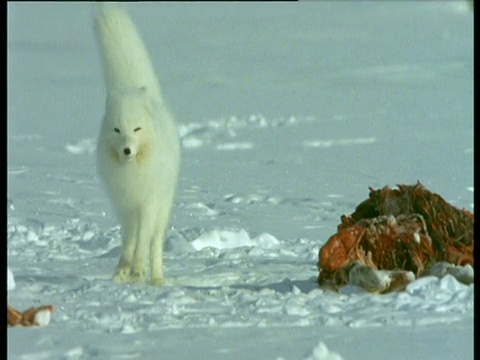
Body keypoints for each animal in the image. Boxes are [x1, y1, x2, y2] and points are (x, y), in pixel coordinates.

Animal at [94, 5, 180, 286]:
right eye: (117, 130)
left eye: (137, 130)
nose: (127, 150)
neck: (132, 172)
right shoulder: (124, 205)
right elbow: (129, 240)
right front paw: (123, 269)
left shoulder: (147, 203)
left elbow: (143, 241)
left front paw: (139, 269)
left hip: (163, 206)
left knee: (156, 243)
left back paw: (157, 278)